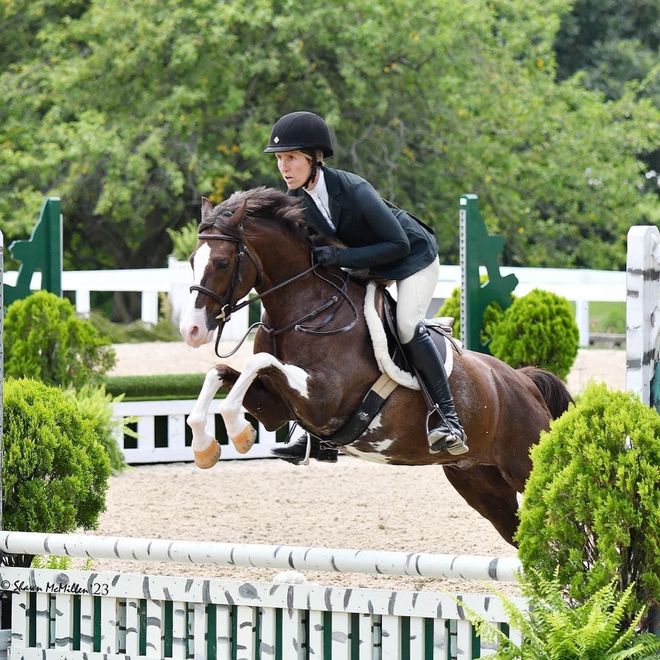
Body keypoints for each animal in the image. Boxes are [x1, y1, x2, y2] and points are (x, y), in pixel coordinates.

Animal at [179, 187, 572, 548]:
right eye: (192, 260)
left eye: (222, 263)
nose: (192, 331)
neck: (307, 311)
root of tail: (522, 381)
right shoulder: (277, 407)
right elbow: (221, 371)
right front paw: (206, 446)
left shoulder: (322, 399)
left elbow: (257, 363)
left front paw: (238, 433)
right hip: (480, 482)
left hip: (526, 464)